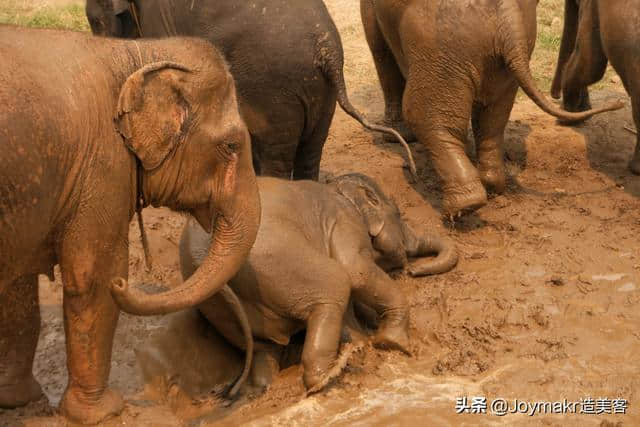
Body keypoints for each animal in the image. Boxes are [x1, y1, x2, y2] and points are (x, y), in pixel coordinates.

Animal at [0, 26, 260, 424]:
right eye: (231, 145)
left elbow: (17, 286)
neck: (134, 52)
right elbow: (95, 277)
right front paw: (104, 412)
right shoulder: (102, 166)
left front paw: (18, 400)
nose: (228, 392)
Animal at [85, 0, 416, 182]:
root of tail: (328, 53)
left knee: (277, 156)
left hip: (276, 91)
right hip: (319, 93)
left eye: (95, 21)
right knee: (310, 152)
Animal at [179, 174, 460, 392]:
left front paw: (364, 340)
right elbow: (356, 273)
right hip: (280, 259)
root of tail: (203, 254)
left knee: (262, 346)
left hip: (219, 308)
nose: (414, 270)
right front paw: (391, 343)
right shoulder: (344, 220)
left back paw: (267, 386)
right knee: (335, 282)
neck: (338, 188)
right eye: (400, 214)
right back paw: (330, 375)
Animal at [362, 0, 624, 216]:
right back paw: (492, 187)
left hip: (441, 49)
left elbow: (379, 48)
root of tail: (508, 18)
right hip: (501, 54)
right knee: (494, 118)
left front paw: (395, 137)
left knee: (424, 115)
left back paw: (465, 207)